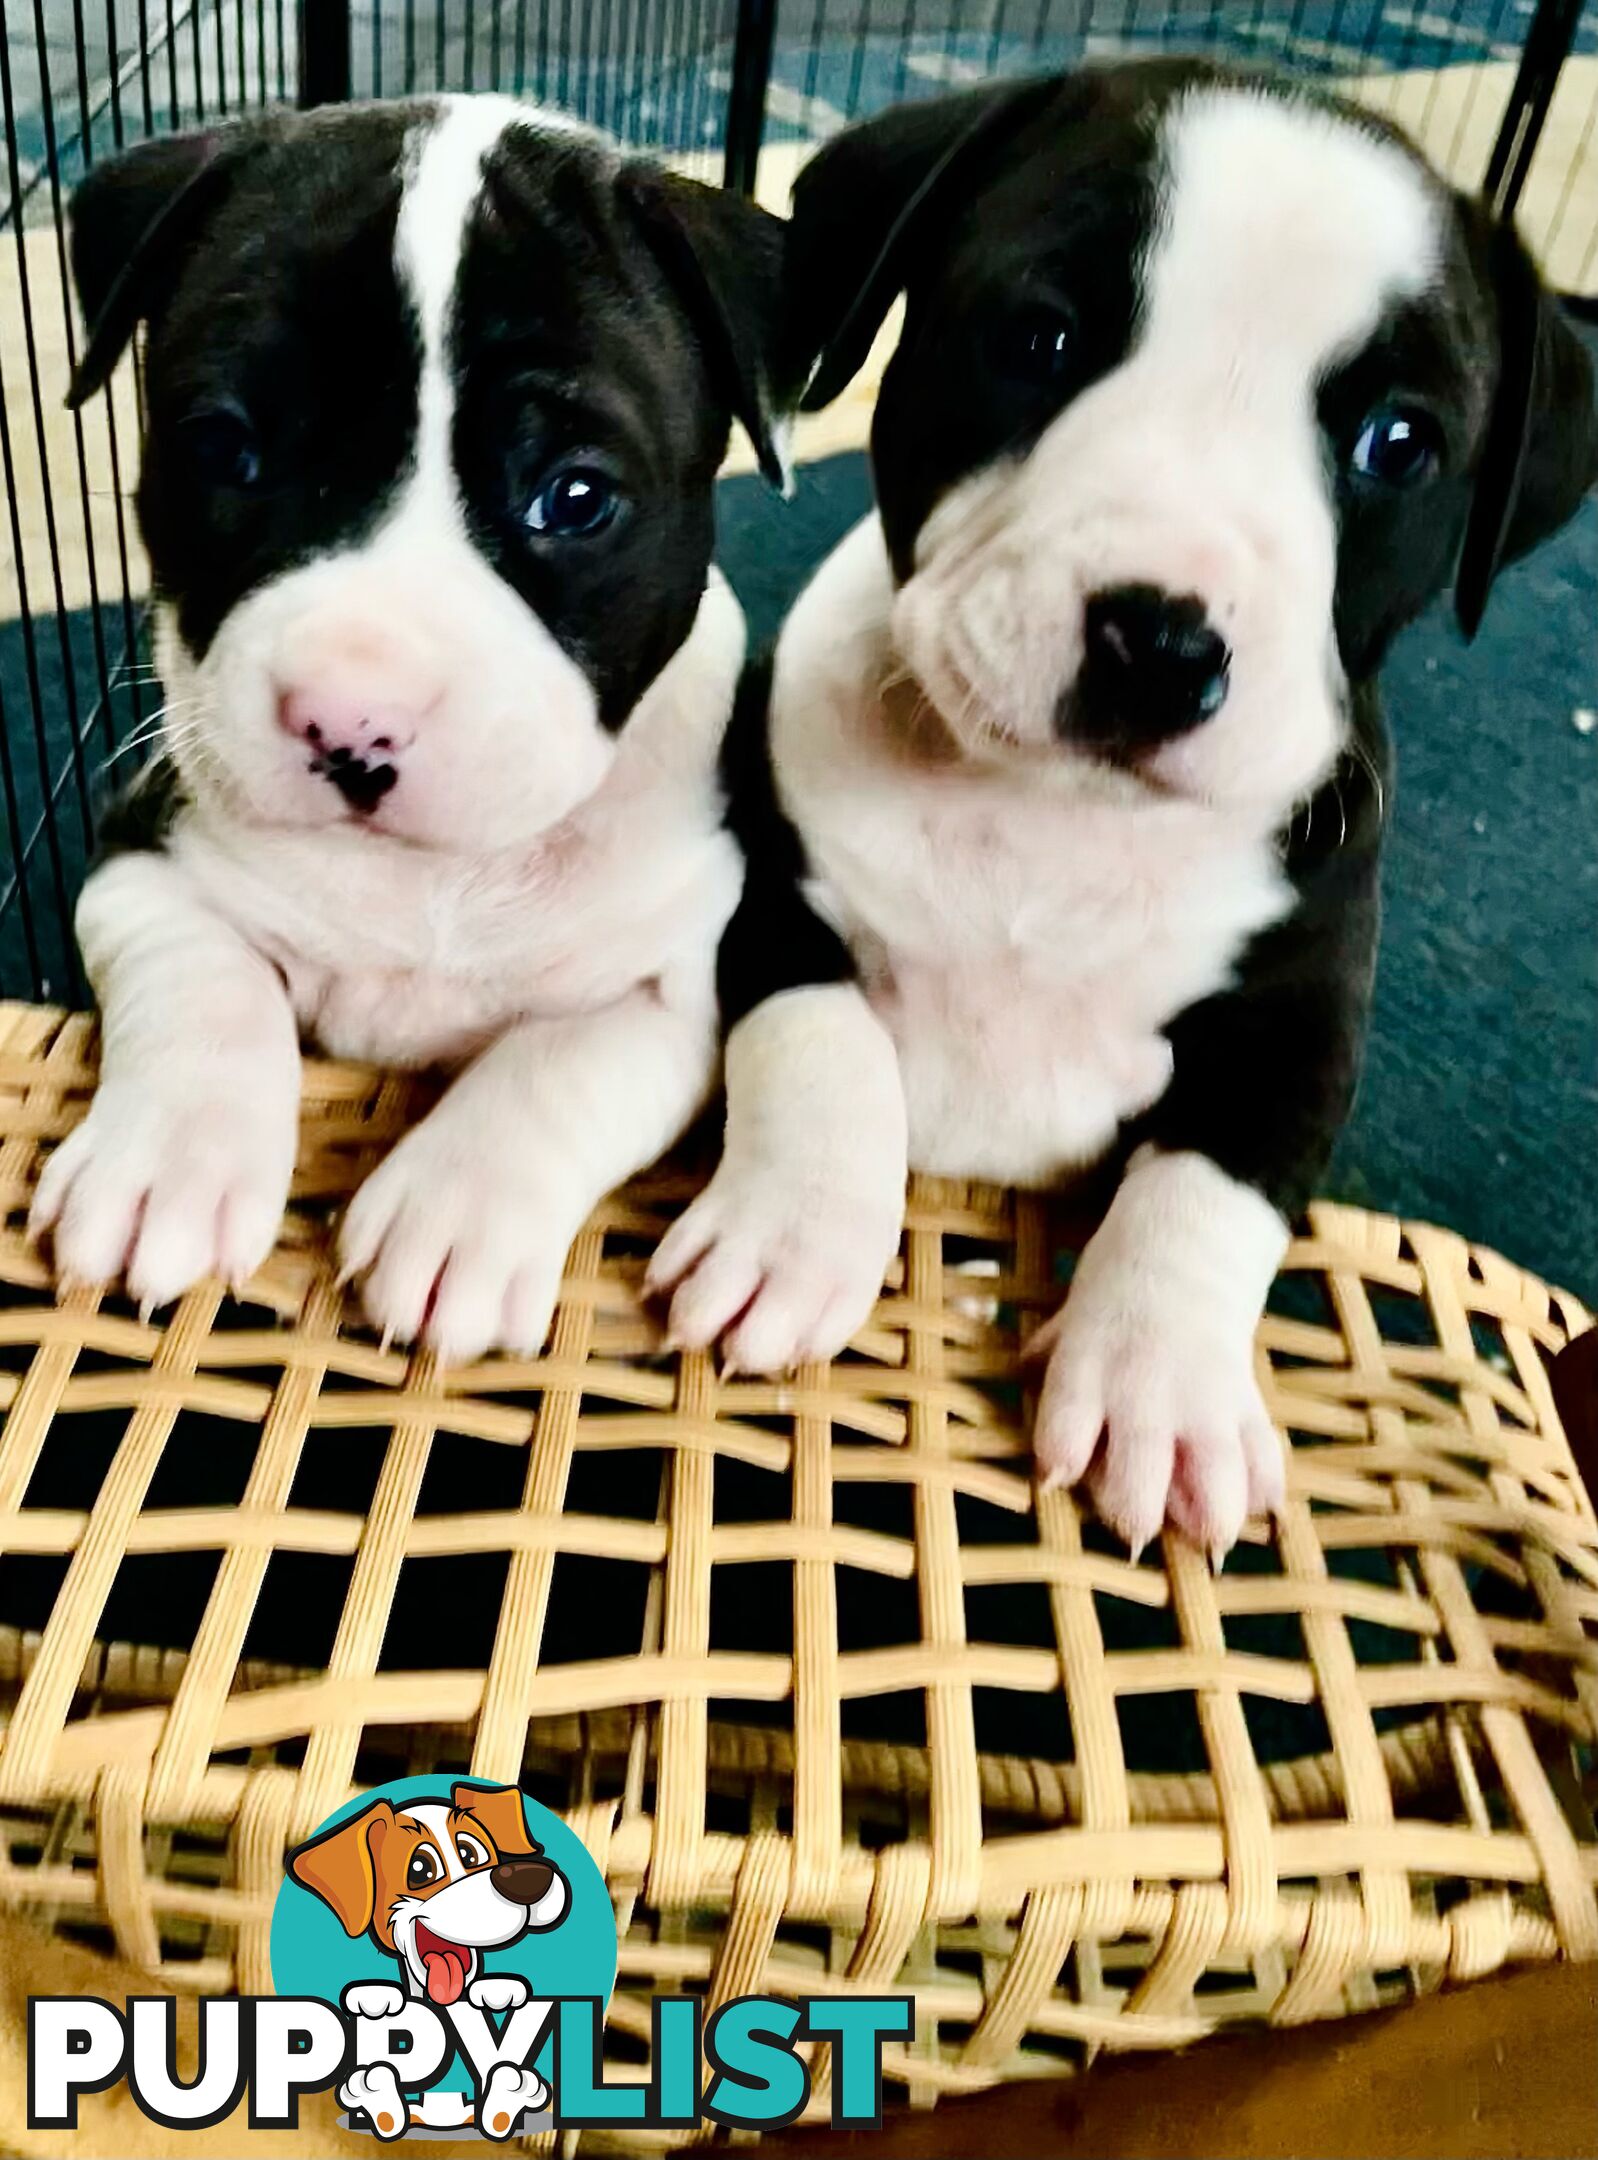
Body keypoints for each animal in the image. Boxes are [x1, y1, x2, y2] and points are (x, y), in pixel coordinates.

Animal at [35, 97, 786, 1365]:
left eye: (574, 498)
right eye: (221, 449)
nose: (349, 721)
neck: (433, 879)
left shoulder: (671, 992)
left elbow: (556, 1063)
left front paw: (458, 1212)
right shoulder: (140, 855)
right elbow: (205, 983)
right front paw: (165, 1162)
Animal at [652, 63, 1597, 1555]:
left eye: (1398, 443)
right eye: (1038, 337)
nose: (1160, 642)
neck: (1051, 824)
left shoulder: (1300, 1024)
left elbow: (1206, 1189)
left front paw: (1162, 1382)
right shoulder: (765, 883)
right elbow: (820, 1039)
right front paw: (792, 1232)